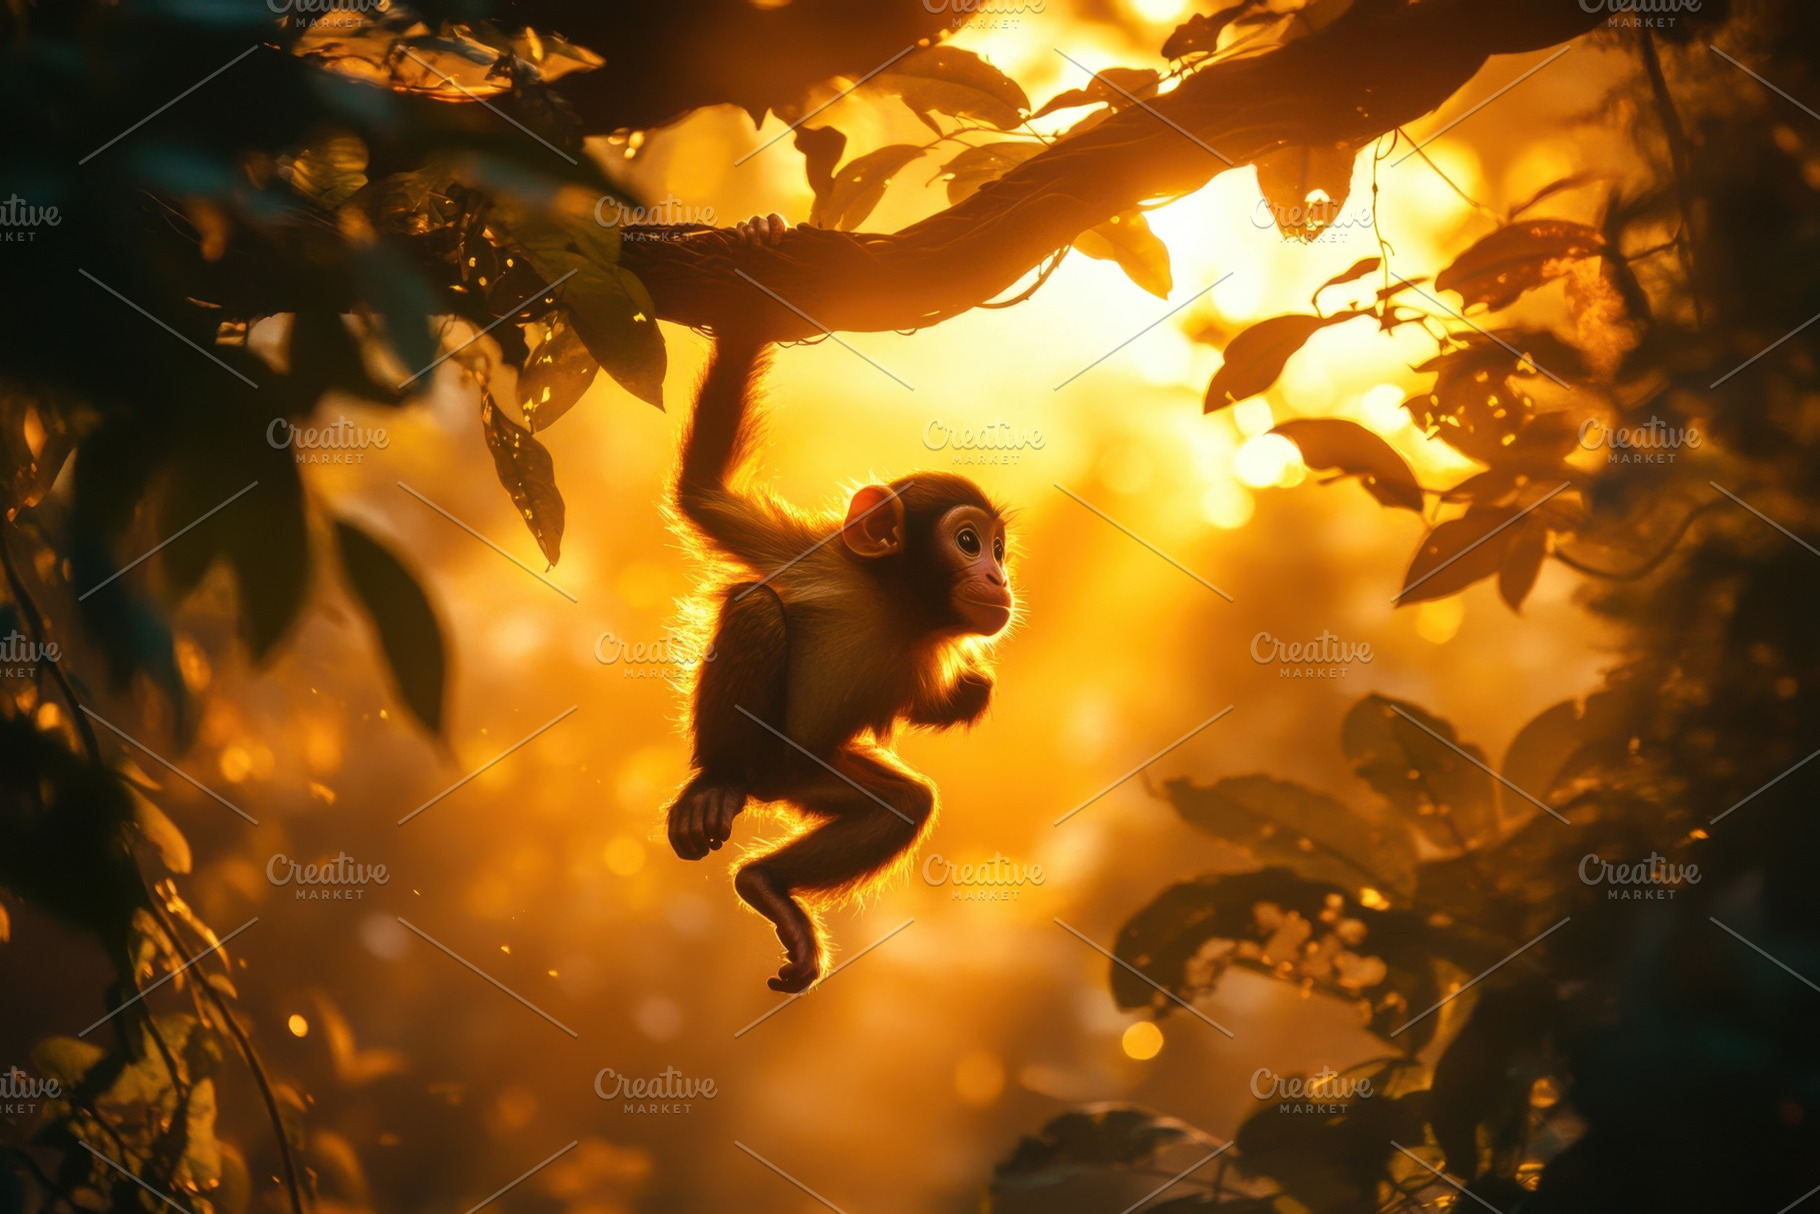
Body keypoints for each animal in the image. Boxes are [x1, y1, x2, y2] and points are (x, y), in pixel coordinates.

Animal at [663, 212, 1016, 993]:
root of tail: (764, 782)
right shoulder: (817, 557)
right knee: (757, 609)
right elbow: (703, 493)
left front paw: (970, 690)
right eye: (968, 541)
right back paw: (715, 784)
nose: (999, 579)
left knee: (901, 806)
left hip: (809, 772)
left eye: (999, 549)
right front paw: (754, 284)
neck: (895, 607)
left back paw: (767, 886)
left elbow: (942, 704)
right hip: (770, 754)